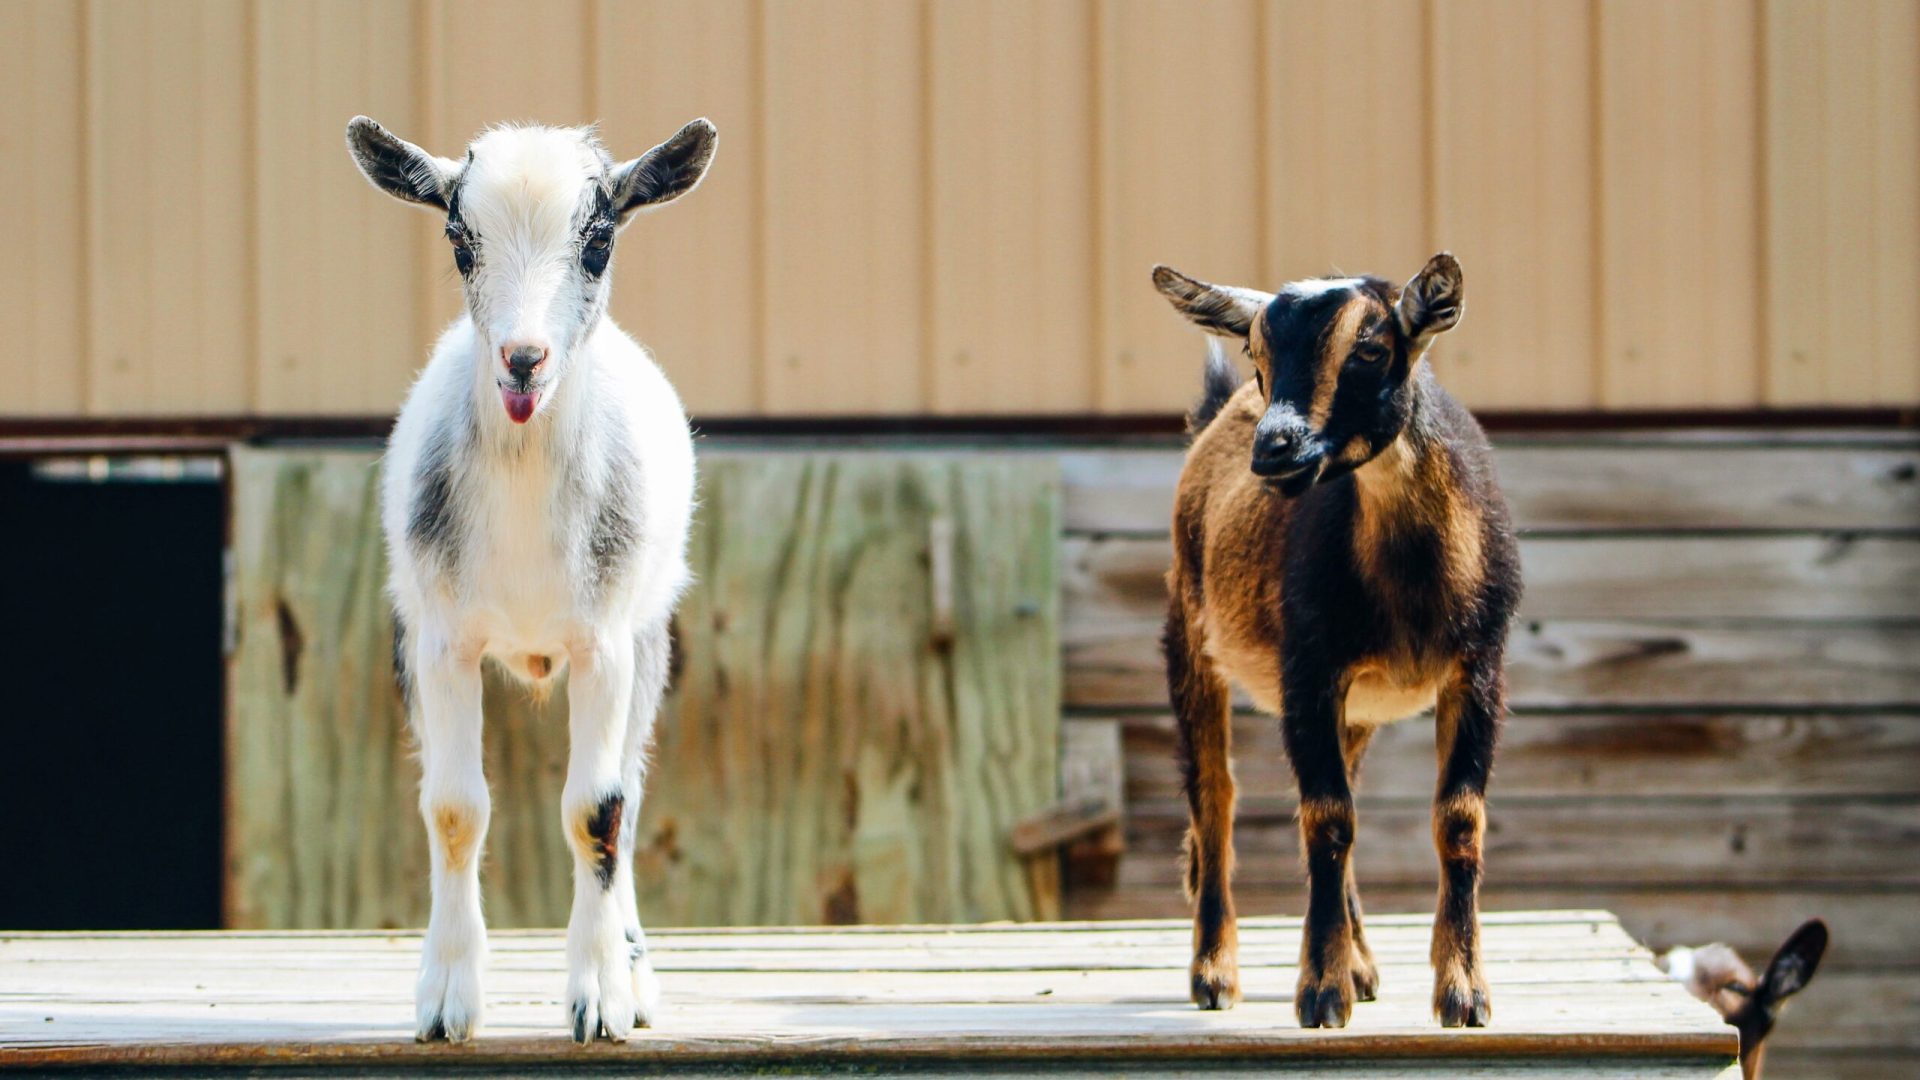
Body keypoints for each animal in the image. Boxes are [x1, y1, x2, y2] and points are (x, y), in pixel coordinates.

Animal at [345, 115, 717, 1044]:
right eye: (458, 241)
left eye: (598, 241)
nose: (523, 360)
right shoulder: (440, 643)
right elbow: (454, 808)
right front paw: (446, 999)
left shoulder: (605, 643)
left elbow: (598, 809)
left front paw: (602, 996)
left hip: (650, 641)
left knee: (630, 792)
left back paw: (636, 970)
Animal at [1151, 253, 1521, 1029]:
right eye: (1258, 357)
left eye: (1371, 349)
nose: (1275, 447)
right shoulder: (1309, 668)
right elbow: (1326, 818)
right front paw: (1321, 995)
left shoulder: (1481, 667)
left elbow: (1457, 819)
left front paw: (1464, 993)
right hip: (1189, 638)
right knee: (1214, 795)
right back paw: (1214, 973)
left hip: (1358, 708)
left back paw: (1360, 962)